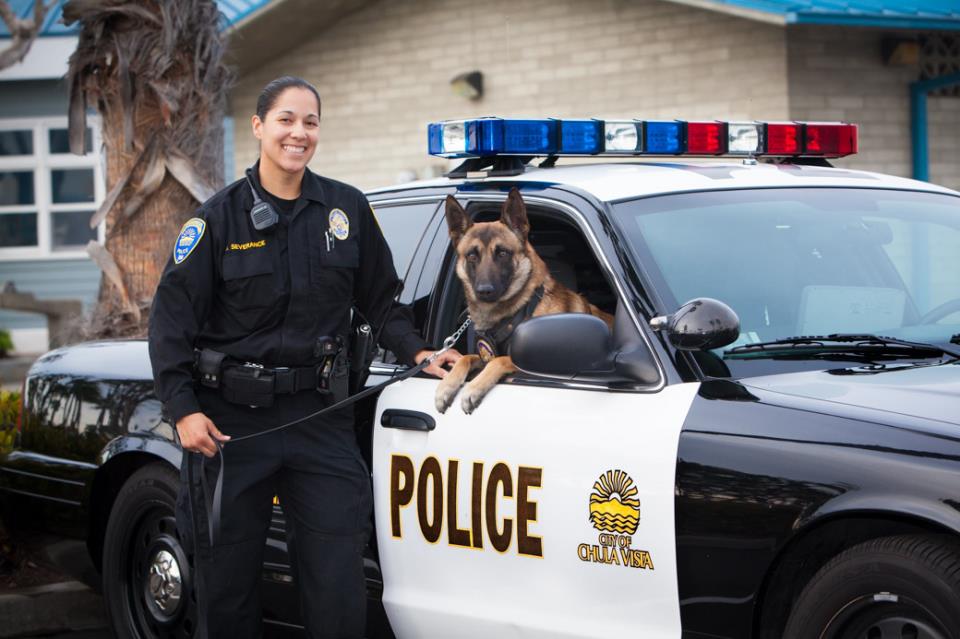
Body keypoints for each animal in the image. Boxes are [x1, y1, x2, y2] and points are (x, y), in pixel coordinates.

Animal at [436, 186, 616, 416]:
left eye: (502, 253)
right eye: (472, 256)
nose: (484, 291)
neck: (519, 309)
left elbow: (500, 360)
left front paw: (472, 388)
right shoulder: (483, 355)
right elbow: (464, 358)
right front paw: (446, 387)